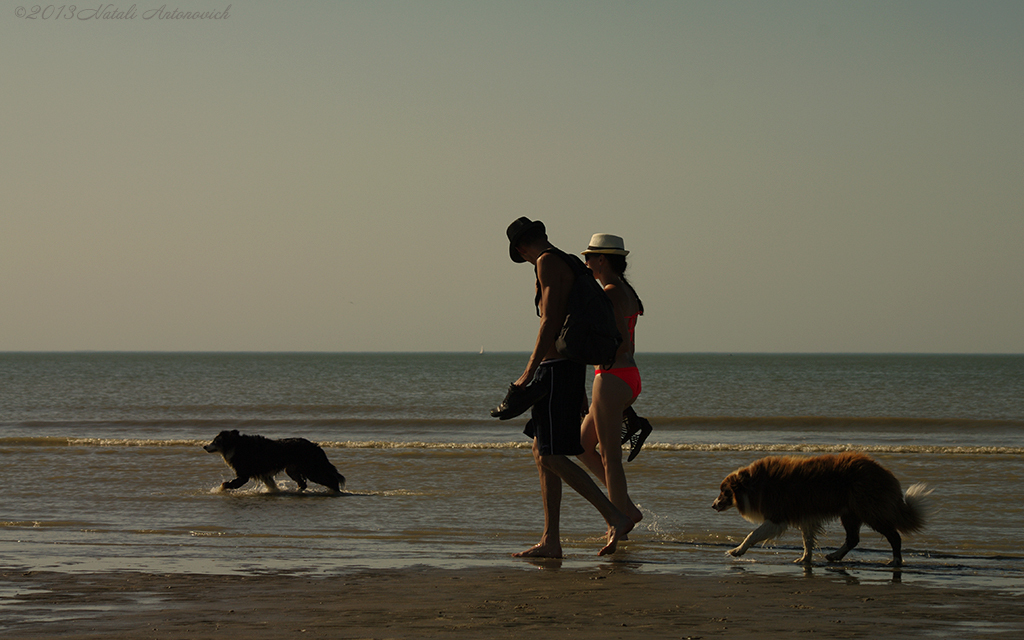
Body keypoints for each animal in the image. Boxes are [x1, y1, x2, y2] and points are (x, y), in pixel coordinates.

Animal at [204, 430, 348, 493]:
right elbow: (271, 484)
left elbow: (232, 483)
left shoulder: (244, 474)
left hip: (311, 470)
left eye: (216, 441)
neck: (235, 445)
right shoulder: (264, 473)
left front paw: (220, 488)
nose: (204, 446)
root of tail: (316, 446)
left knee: (331, 480)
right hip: (292, 469)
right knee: (303, 484)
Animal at [712, 448, 929, 565]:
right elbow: (807, 540)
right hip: (850, 513)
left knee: (894, 536)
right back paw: (835, 556)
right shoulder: (805, 516)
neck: (753, 484)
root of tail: (884, 472)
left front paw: (737, 551)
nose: (713, 505)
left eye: (724, 492)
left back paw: (896, 561)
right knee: (853, 539)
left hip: (869, 510)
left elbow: (753, 534)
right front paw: (805, 560)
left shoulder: (777, 516)